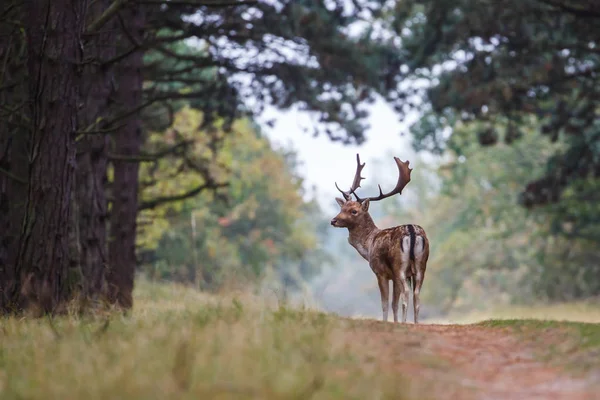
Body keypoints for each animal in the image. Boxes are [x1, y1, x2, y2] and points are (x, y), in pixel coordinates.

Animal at [330, 155, 428, 324]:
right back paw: (416, 324)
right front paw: (395, 322)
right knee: (417, 295)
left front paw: (389, 322)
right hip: (421, 265)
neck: (369, 244)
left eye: (354, 211)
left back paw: (405, 322)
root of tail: (412, 231)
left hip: (399, 266)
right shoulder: (395, 276)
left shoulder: (381, 272)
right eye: (341, 208)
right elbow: (394, 303)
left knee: (407, 293)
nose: (333, 220)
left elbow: (385, 303)